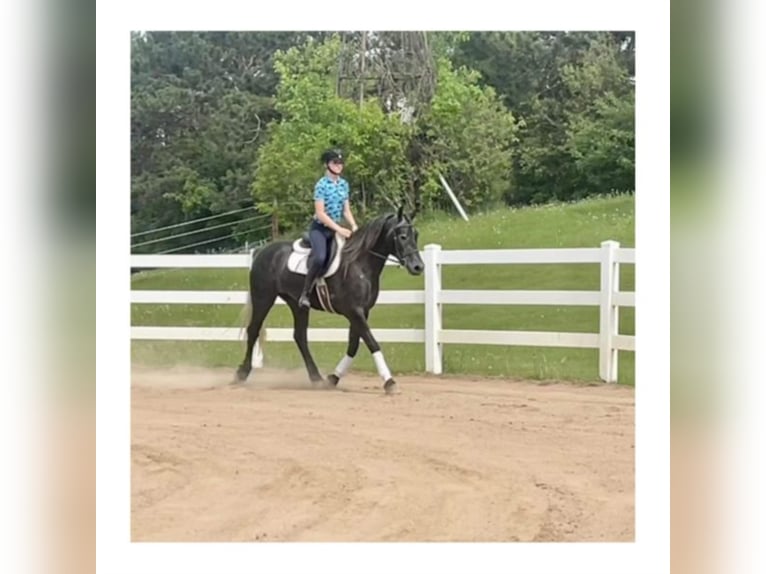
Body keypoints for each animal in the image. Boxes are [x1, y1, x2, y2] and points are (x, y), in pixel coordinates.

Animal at [234, 207, 426, 396]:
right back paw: (242, 374)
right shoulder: (354, 311)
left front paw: (333, 378)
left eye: (416, 235)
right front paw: (390, 382)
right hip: (263, 298)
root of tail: (261, 252)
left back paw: (316, 378)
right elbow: (372, 342)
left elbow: (354, 345)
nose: (418, 267)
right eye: (403, 236)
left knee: (300, 336)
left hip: (297, 305)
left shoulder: (362, 312)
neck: (359, 264)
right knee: (253, 331)